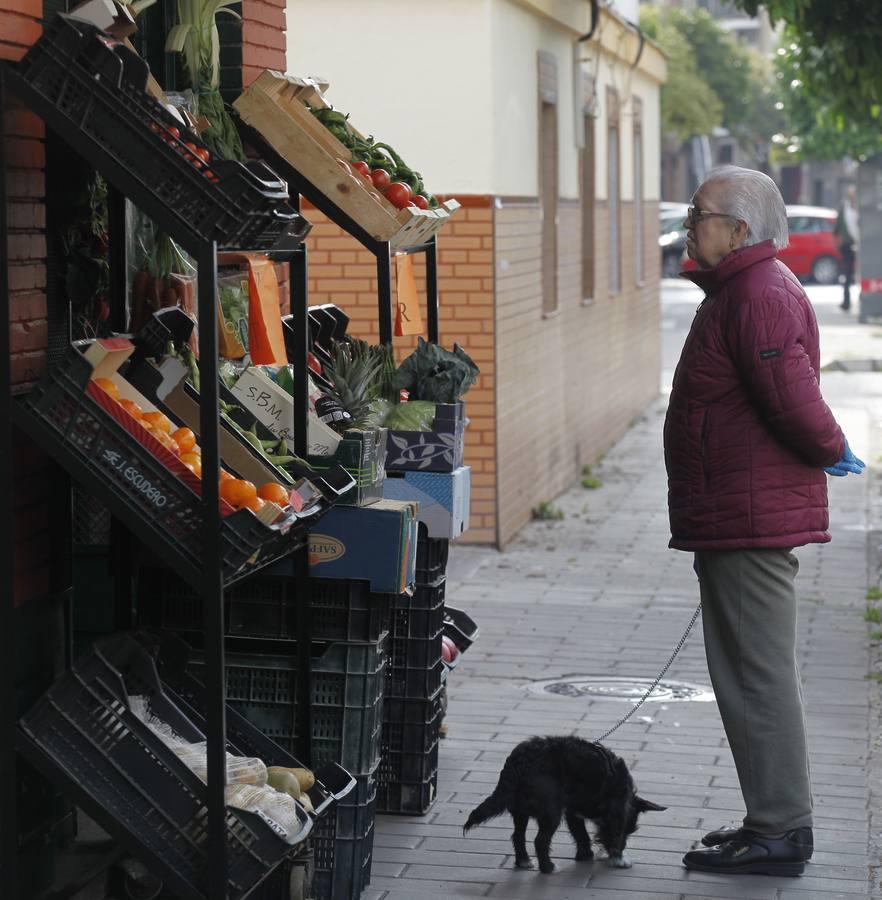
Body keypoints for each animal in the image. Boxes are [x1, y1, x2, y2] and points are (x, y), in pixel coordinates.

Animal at [464, 740, 664, 872]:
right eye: (630, 830)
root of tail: (519, 760)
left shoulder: (573, 812)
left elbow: (581, 834)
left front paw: (585, 855)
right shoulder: (617, 812)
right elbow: (615, 835)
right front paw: (619, 859)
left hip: (520, 810)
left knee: (518, 836)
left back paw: (524, 861)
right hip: (551, 812)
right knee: (540, 840)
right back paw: (548, 868)